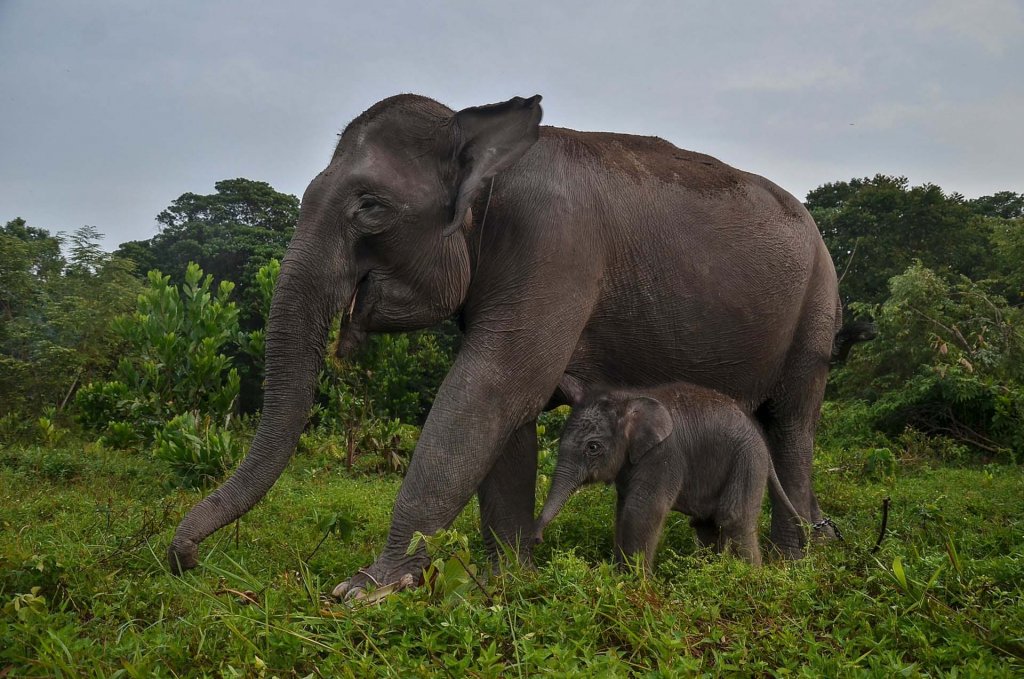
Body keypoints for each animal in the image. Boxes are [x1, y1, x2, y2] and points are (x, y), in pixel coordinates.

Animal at [536, 383, 798, 569]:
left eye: (593, 447)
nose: (537, 538)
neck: (629, 398)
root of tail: (761, 440)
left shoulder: (664, 455)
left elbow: (642, 510)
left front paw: (635, 586)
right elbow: (622, 512)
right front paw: (620, 578)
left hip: (748, 460)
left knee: (734, 518)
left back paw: (750, 578)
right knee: (706, 523)